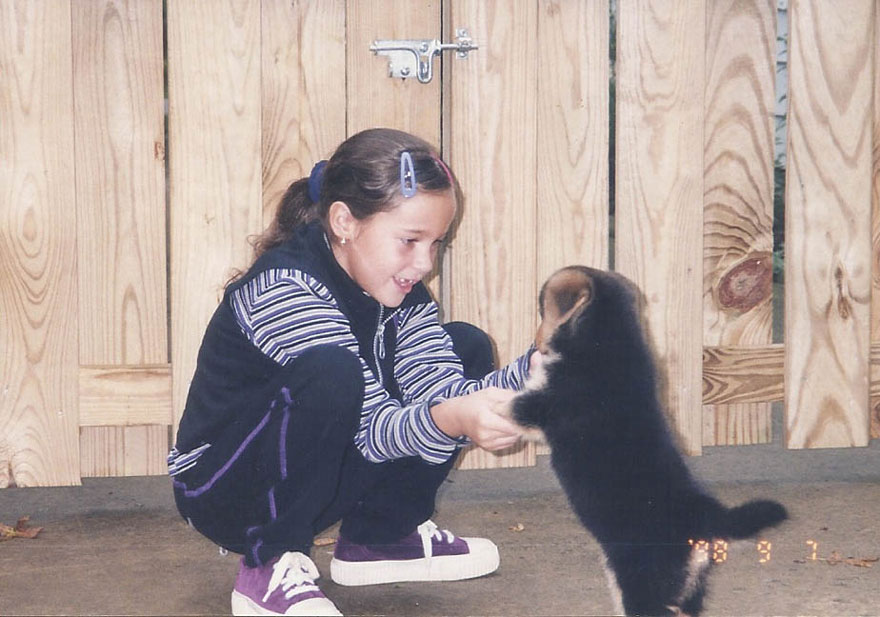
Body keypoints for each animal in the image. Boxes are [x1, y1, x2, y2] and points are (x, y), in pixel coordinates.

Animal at [512, 266, 788, 616]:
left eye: (540, 309)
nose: (534, 347)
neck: (610, 338)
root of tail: (705, 518)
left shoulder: (534, 407)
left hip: (641, 582)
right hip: (690, 587)